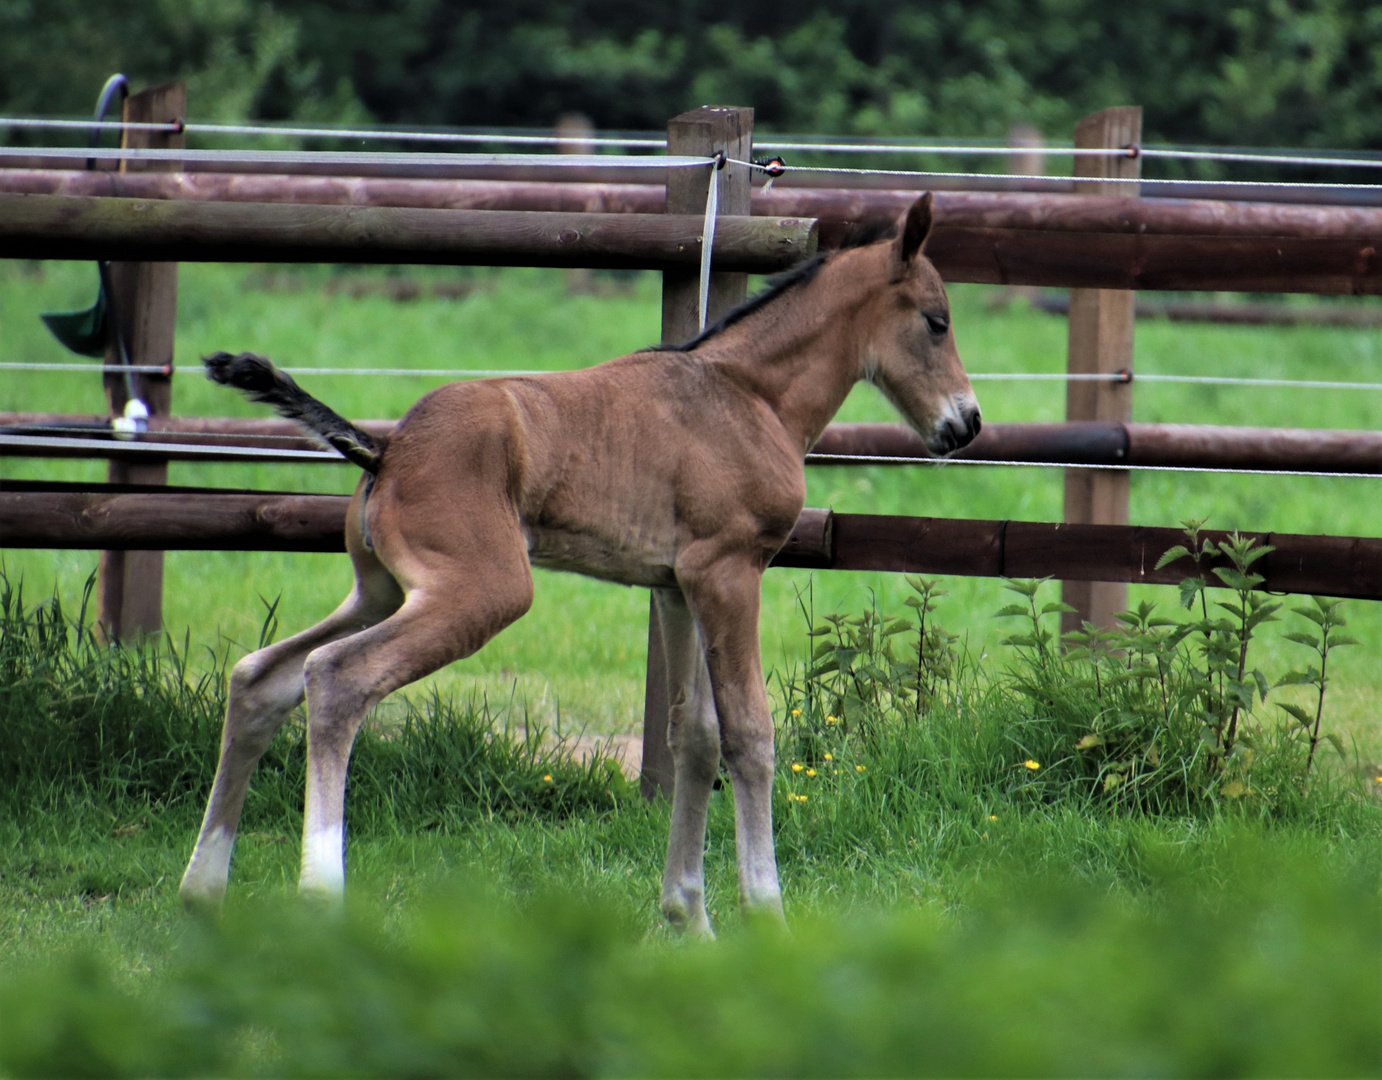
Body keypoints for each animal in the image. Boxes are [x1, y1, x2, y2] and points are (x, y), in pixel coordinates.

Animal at [181, 192, 983, 929]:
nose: (967, 423)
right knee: (336, 677)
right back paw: (319, 898)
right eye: (936, 321)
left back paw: (201, 892)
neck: (749, 396)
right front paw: (767, 916)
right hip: (484, 589)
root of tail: (388, 447)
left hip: (380, 589)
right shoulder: (730, 570)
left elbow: (695, 736)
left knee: (260, 677)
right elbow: (750, 734)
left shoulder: (678, 585)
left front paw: (688, 918)